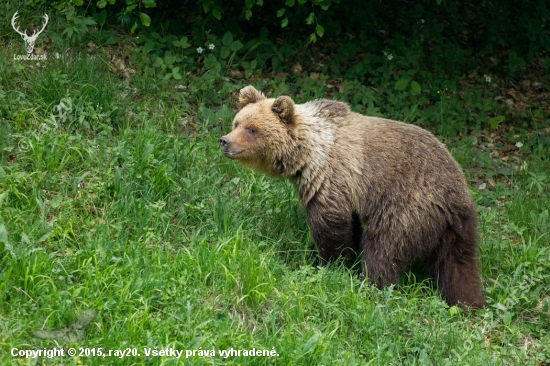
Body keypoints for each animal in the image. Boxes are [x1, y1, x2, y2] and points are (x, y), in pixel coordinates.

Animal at [221, 86, 488, 308]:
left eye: (252, 129)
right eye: (236, 123)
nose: (225, 141)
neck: (307, 154)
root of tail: (452, 197)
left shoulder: (330, 178)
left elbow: (330, 226)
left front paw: (328, 264)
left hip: (407, 204)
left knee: (384, 247)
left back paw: (369, 285)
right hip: (458, 227)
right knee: (457, 265)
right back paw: (469, 302)